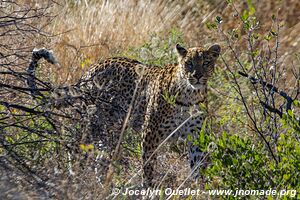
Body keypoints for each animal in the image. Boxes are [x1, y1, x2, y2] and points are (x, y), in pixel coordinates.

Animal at [27, 43, 220, 187]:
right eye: (189, 64)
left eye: (206, 63)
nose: (197, 76)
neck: (190, 95)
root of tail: (90, 71)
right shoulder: (150, 134)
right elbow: (148, 167)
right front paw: (149, 190)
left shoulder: (196, 137)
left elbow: (198, 168)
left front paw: (199, 190)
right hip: (94, 126)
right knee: (76, 149)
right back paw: (73, 178)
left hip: (111, 133)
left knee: (100, 161)